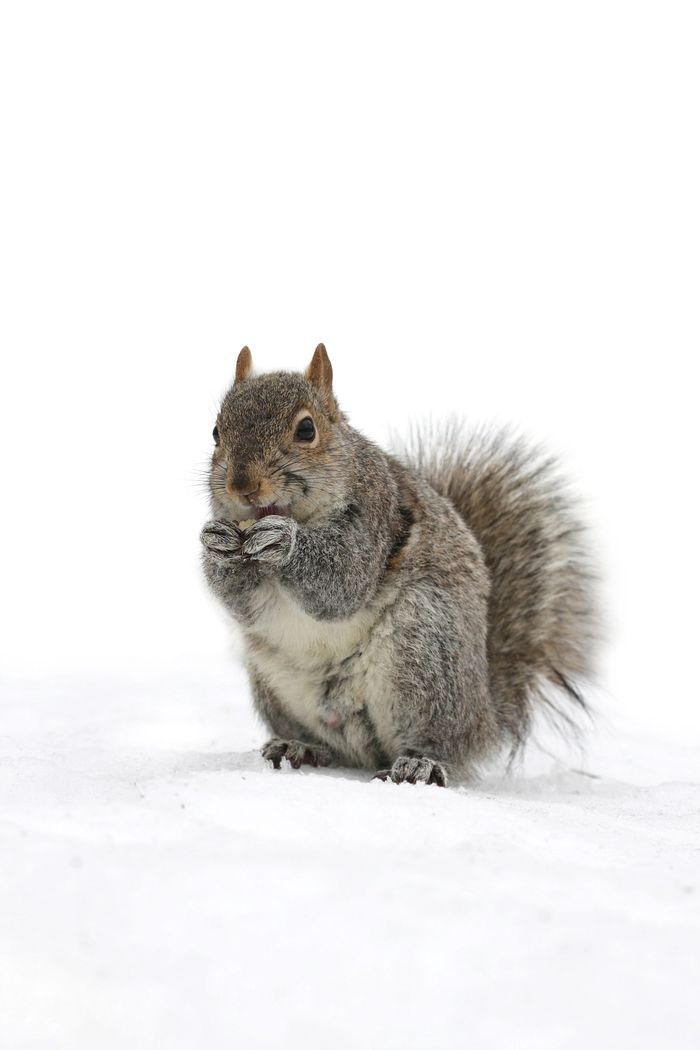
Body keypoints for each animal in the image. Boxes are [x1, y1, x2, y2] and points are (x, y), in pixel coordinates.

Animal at [200, 343, 598, 787]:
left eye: (306, 430)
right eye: (216, 432)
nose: (242, 486)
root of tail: (484, 718)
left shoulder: (376, 518)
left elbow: (341, 582)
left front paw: (285, 541)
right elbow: (245, 605)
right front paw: (216, 545)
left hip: (425, 655)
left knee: (437, 742)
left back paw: (419, 763)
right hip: (272, 680)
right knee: (330, 745)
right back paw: (299, 746)